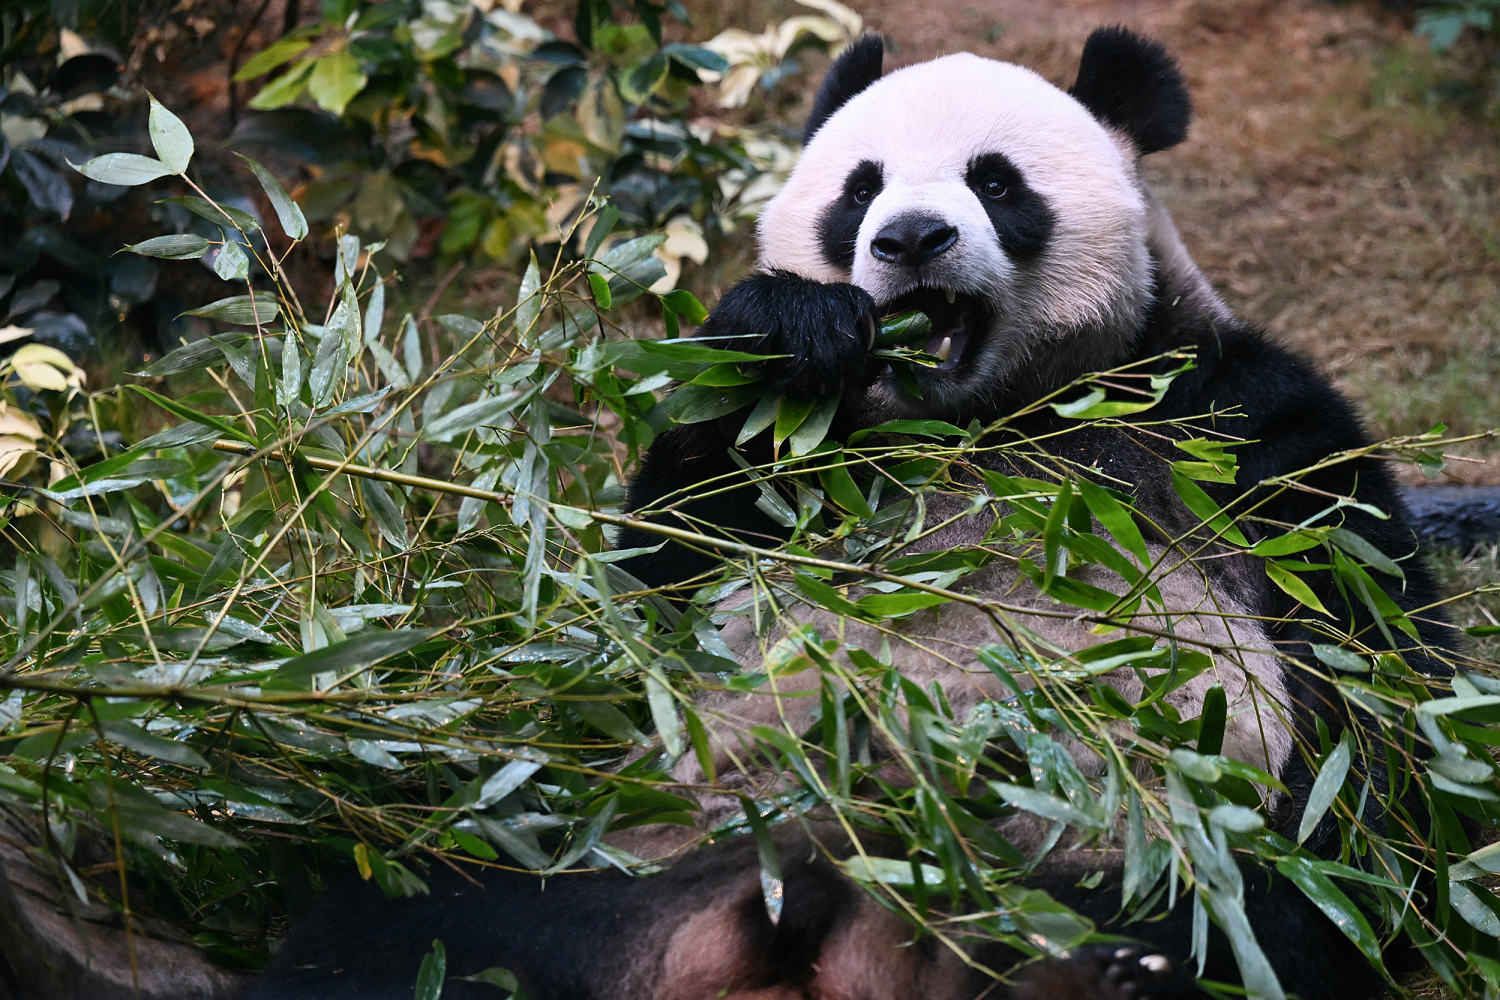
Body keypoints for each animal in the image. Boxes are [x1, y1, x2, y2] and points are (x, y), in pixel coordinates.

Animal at [252, 23, 1458, 1000]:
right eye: (860, 187)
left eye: (997, 182)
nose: (911, 238)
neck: (979, 417)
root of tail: (836, 915)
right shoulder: (802, 465)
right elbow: (651, 593)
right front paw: (794, 328)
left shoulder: (1227, 423)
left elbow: (1371, 681)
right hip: (599, 845)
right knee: (407, 909)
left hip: (1127, 855)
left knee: (1245, 917)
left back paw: (1098, 970)